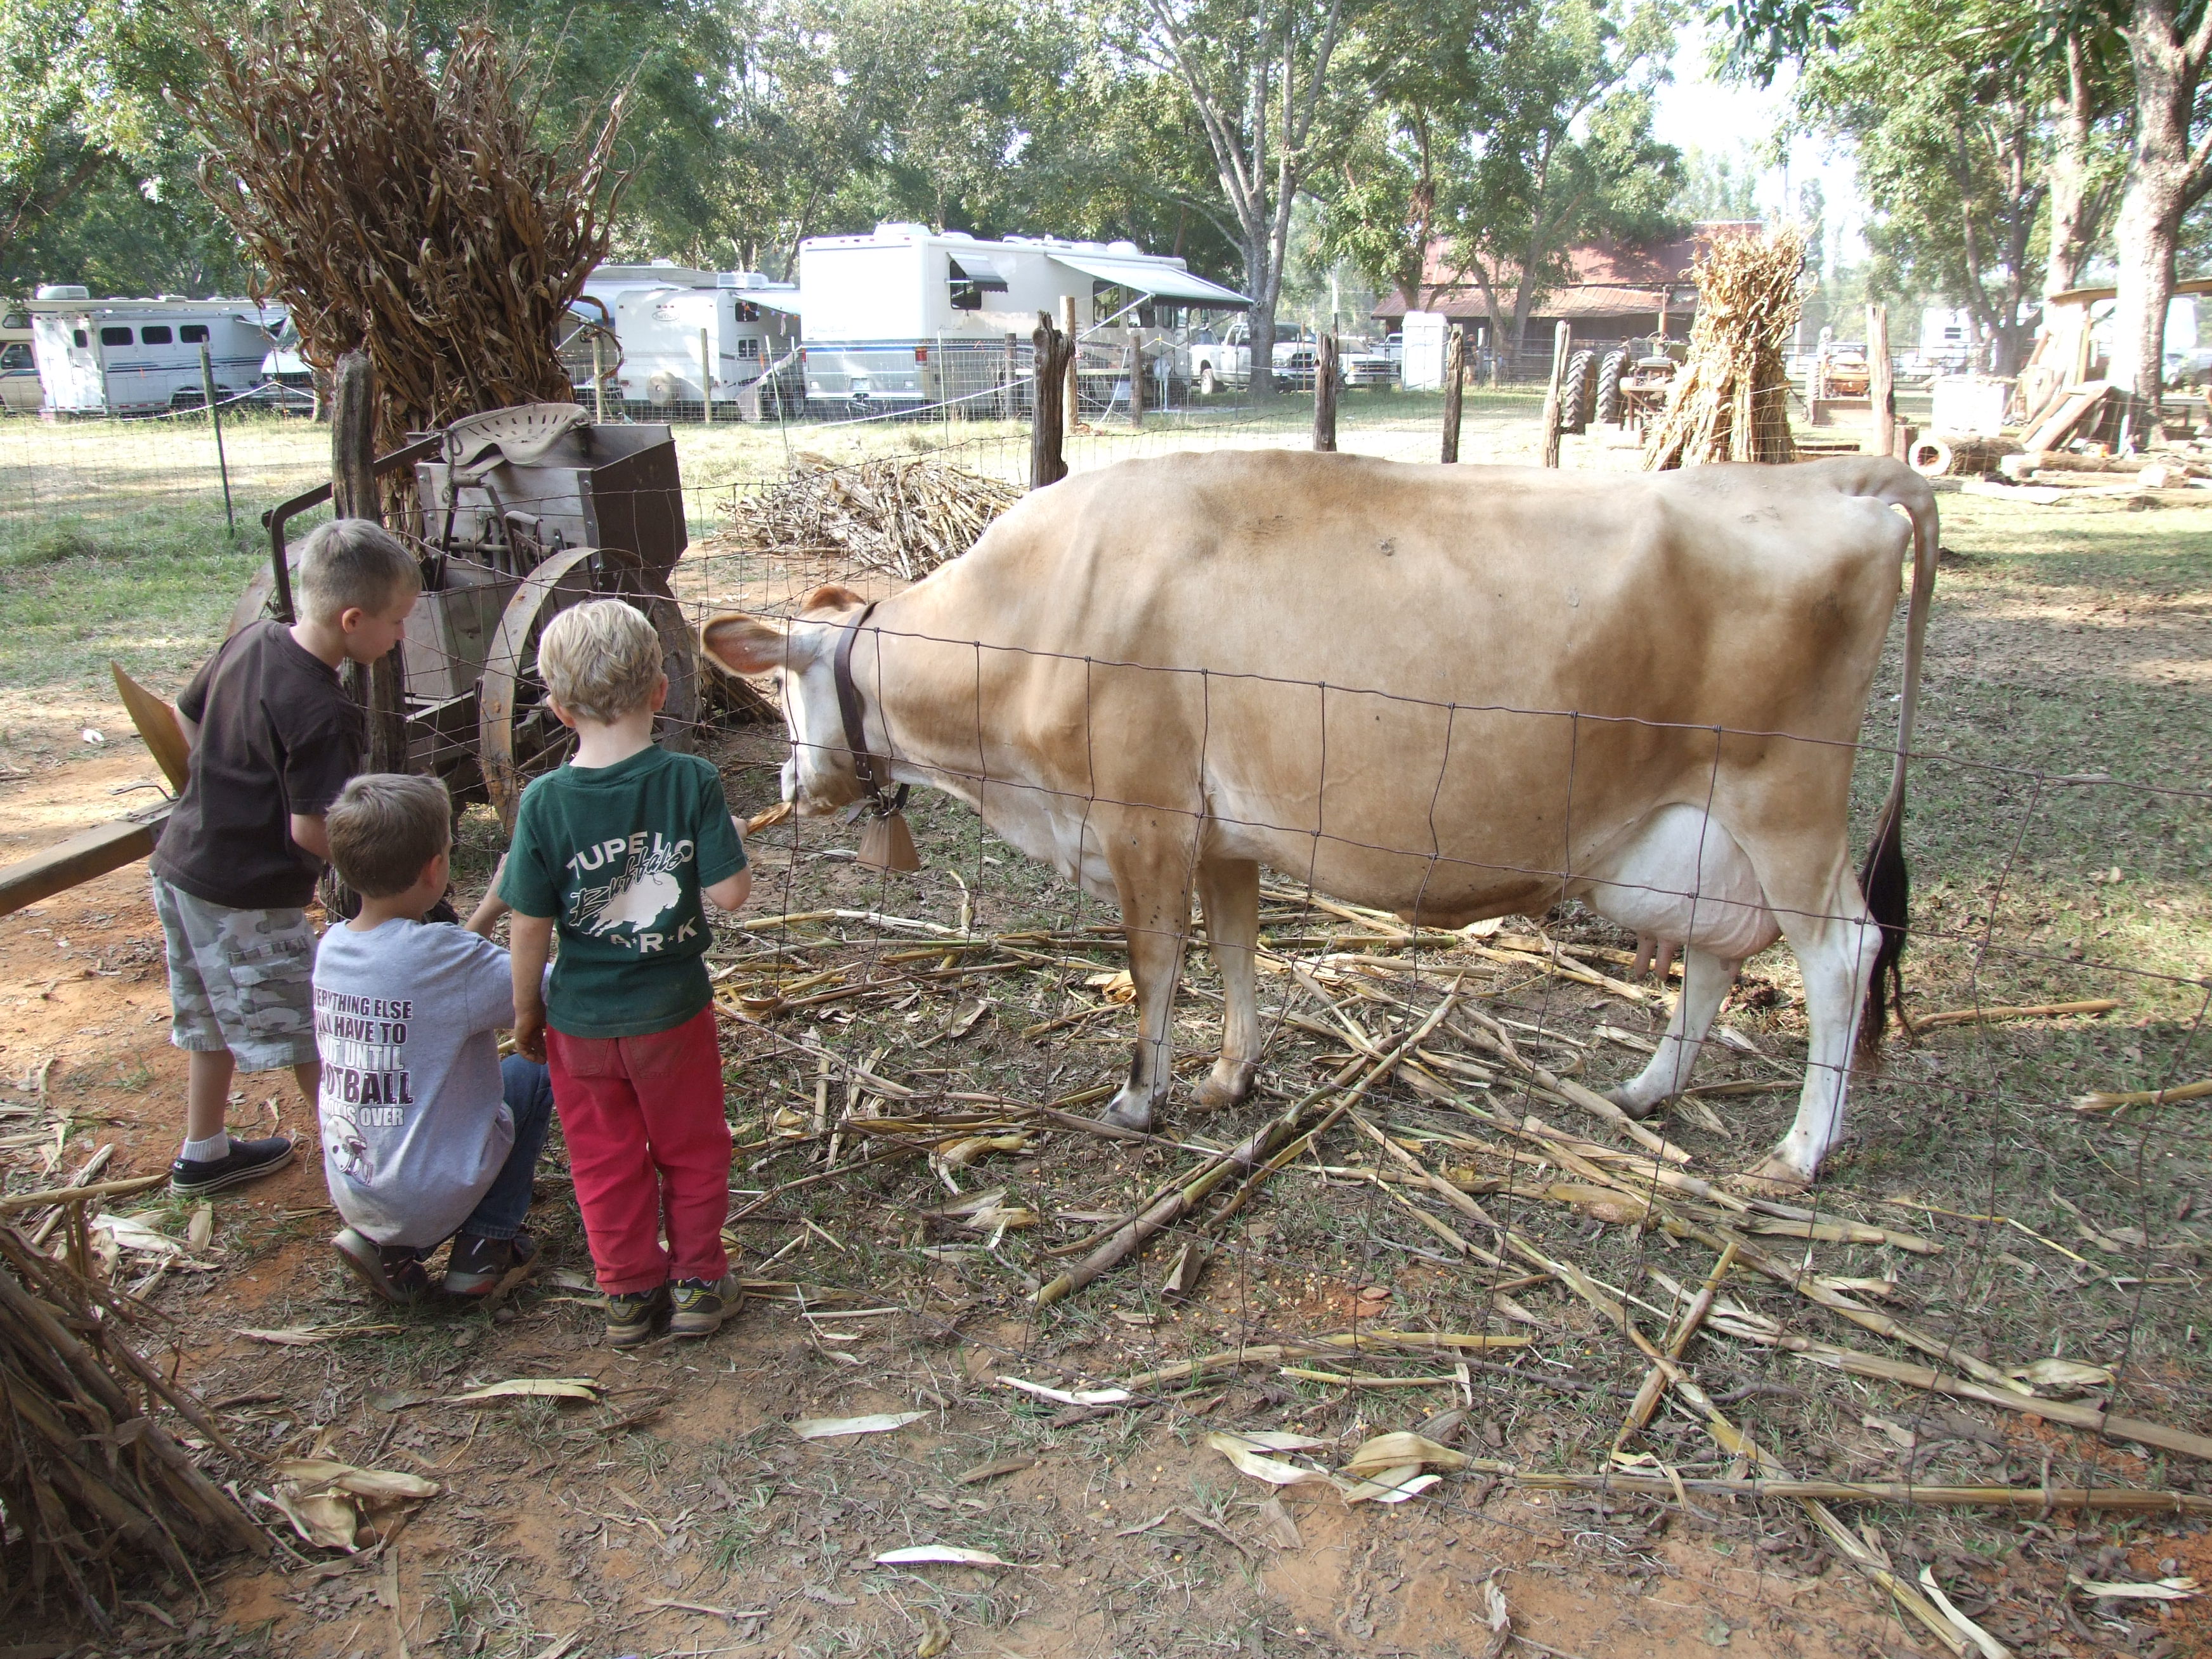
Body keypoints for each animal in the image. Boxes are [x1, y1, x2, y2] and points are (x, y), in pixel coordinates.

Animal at [703, 451, 1936, 1190]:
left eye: (785, 695)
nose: (786, 788)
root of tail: (1840, 479)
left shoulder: (1142, 814)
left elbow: (1154, 963)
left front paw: (1139, 1098)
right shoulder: (1221, 835)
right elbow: (1238, 953)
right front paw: (1229, 1077)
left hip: (1786, 805)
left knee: (1841, 957)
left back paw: (1798, 1150)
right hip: (1708, 830)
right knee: (1717, 956)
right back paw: (1647, 1088)